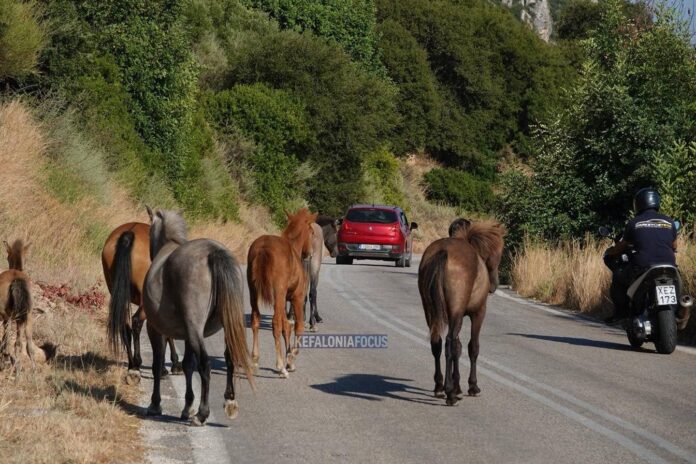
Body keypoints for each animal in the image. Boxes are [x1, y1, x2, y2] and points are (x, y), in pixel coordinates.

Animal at [0, 240, 54, 368]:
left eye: (7, 257)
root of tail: (16, 279)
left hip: (8, 316)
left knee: (8, 338)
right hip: (28, 316)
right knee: (27, 344)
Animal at [102, 222, 182, 385]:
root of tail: (130, 233)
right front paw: (170, 366)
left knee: (124, 327)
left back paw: (132, 365)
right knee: (136, 322)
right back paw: (137, 364)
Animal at [118, 208, 254, 426]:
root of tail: (213, 253)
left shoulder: (155, 329)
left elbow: (157, 364)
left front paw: (155, 404)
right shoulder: (189, 335)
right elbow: (188, 365)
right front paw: (187, 406)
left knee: (205, 364)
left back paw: (202, 413)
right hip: (224, 326)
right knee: (229, 357)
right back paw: (229, 401)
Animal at [248, 208, 317, 378]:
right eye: (312, 232)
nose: (311, 253)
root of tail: (263, 247)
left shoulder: (284, 300)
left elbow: (287, 326)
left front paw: (288, 356)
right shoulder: (297, 298)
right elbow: (297, 325)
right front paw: (291, 358)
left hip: (253, 291)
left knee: (256, 319)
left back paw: (255, 360)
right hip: (278, 294)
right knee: (276, 324)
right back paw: (280, 367)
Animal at [418, 219, 505, 406]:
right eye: (498, 253)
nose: (494, 284)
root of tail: (443, 252)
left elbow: (458, 348)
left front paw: (457, 386)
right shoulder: (478, 313)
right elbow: (472, 347)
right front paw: (472, 386)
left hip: (431, 312)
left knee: (437, 342)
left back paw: (439, 387)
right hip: (458, 313)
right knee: (449, 343)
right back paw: (449, 393)